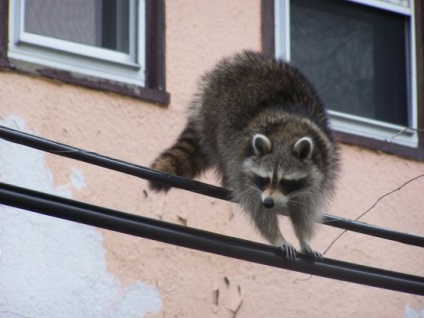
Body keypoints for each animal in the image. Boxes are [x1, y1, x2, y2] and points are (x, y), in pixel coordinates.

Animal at [149, 50, 338, 260]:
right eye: (264, 179)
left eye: (286, 182)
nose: (269, 202)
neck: (286, 134)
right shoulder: (243, 167)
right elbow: (257, 209)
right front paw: (277, 237)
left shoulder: (322, 169)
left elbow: (305, 209)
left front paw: (304, 238)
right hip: (214, 115)